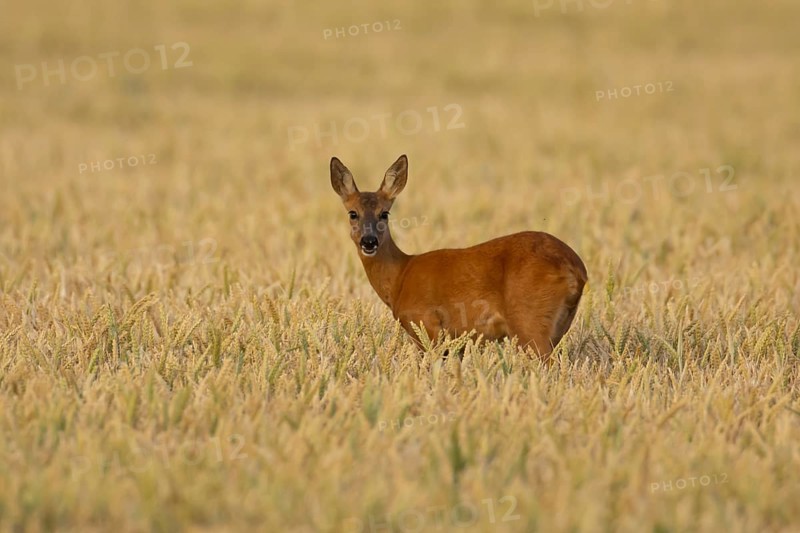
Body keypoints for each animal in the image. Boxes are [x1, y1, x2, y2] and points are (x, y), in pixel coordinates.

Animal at [330, 154, 587, 359]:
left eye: (384, 213)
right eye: (353, 213)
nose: (369, 241)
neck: (400, 277)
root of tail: (576, 269)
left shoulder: (427, 324)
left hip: (529, 319)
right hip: (560, 324)